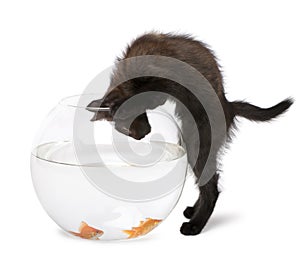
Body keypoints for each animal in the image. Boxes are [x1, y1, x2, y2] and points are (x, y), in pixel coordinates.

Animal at [86, 32, 292, 236]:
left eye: (125, 126)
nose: (141, 136)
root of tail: (228, 105)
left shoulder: (164, 76)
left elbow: (153, 93)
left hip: (198, 142)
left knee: (211, 187)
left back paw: (195, 225)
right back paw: (193, 211)